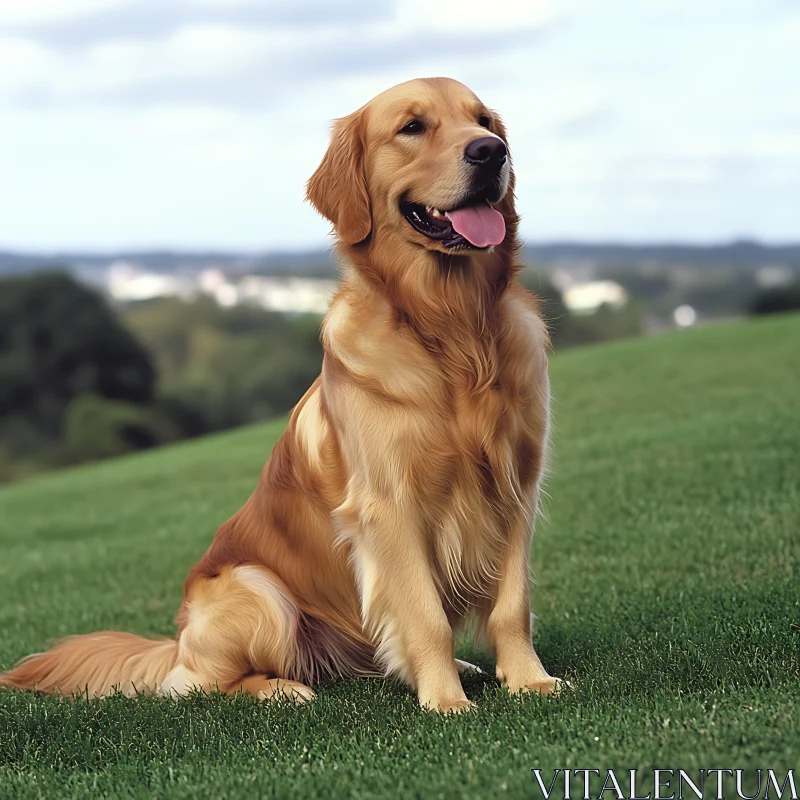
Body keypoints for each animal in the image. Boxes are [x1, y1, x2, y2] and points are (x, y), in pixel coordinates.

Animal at [0, 76, 564, 712]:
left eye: (484, 121)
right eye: (413, 127)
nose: (491, 152)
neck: (454, 331)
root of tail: (175, 644)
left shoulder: (517, 484)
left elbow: (512, 606)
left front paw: (529, 680)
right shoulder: (389, 505)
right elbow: (425, 617)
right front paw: (446, 703)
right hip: (257, 588)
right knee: (202, 684)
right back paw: (282, 688)